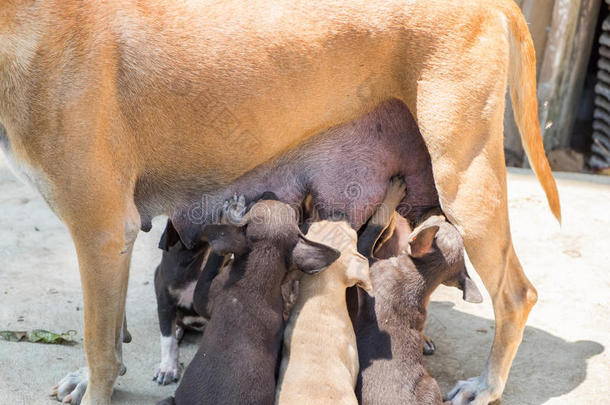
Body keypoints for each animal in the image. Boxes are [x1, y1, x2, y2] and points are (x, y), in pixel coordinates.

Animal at [164, 196, 340, 404]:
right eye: (293, 214)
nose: (269, 194)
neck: (259, 271)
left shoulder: (204, 297)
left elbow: (214, 260)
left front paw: (230, 214)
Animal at [352, 186, 480, 404]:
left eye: (439, 220)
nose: (439, 207)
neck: (420, 276)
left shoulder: (367, 258)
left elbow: (376, 225)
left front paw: (394, 194)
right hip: (431, 386)